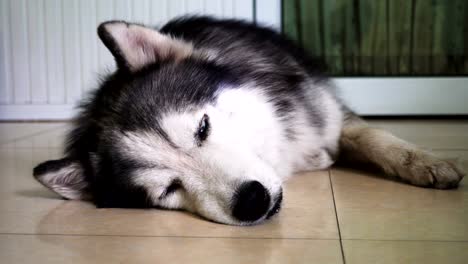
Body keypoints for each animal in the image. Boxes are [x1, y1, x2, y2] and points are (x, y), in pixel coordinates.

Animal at [32, 16, 464, 225]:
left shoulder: (328, 115)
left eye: (202, 128)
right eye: (168, 189)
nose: (252, 200)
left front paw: (426, 163)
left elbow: (375, 136)